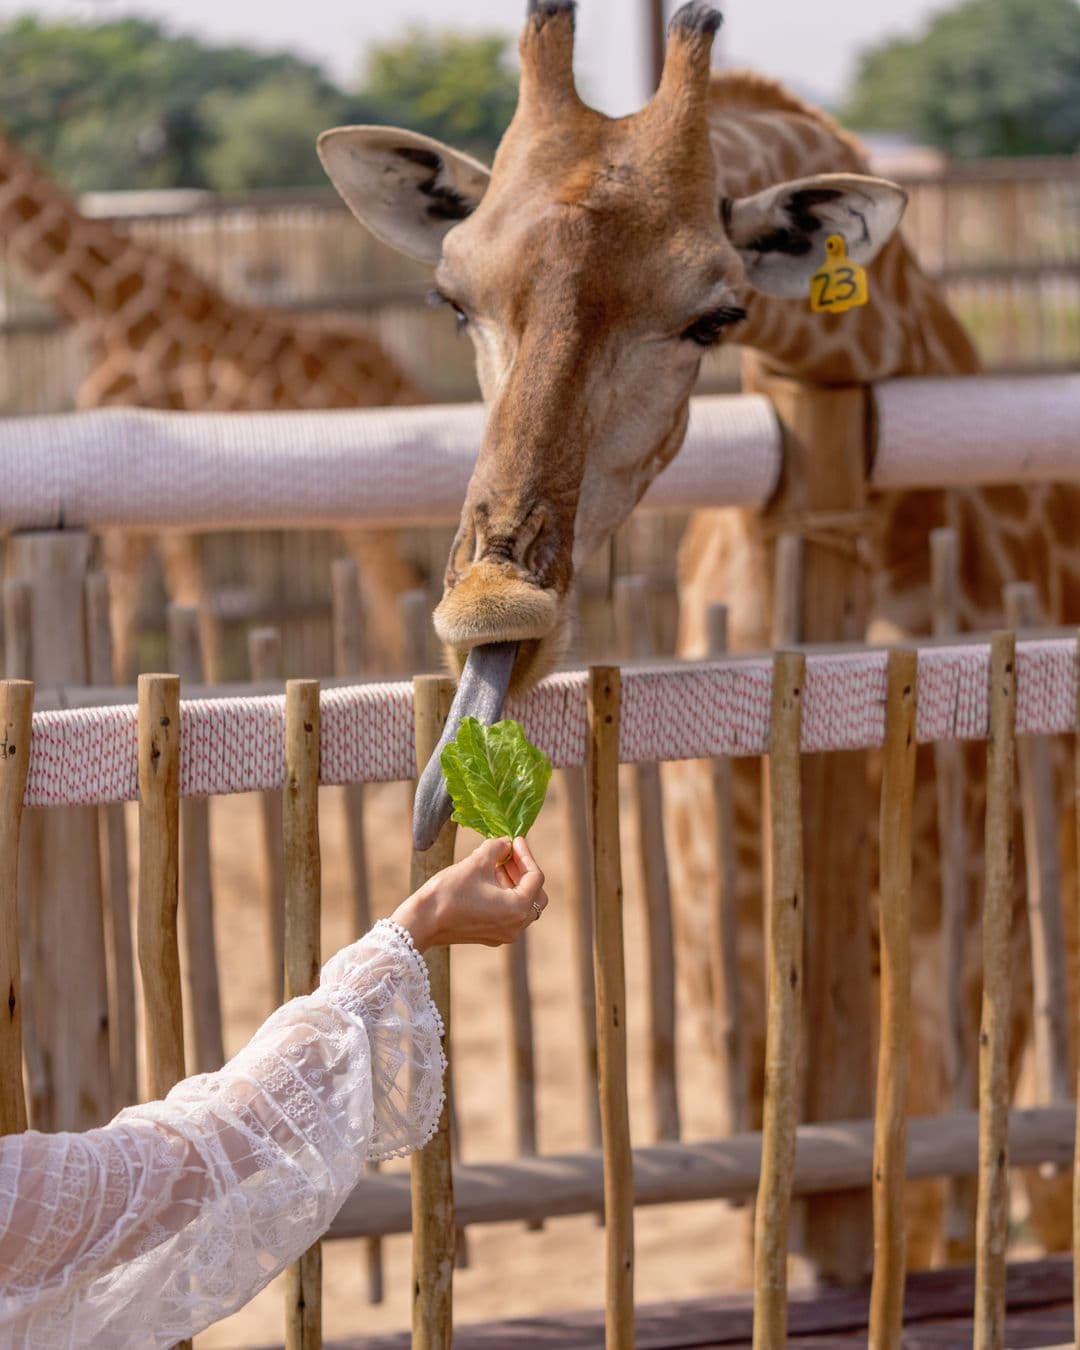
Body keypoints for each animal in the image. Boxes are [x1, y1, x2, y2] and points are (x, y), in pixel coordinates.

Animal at [0, 124, 424, 675]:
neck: (100, 307)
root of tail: (407, 382)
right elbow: (191, 602)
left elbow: (128, 605)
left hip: (367, 506)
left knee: (394, 594)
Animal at [320, 0, 1079, 1266]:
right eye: (452, 298)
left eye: (715, 313)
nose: (493, 615)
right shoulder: (726, 935)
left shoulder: (969, 930)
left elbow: (932, 1187)